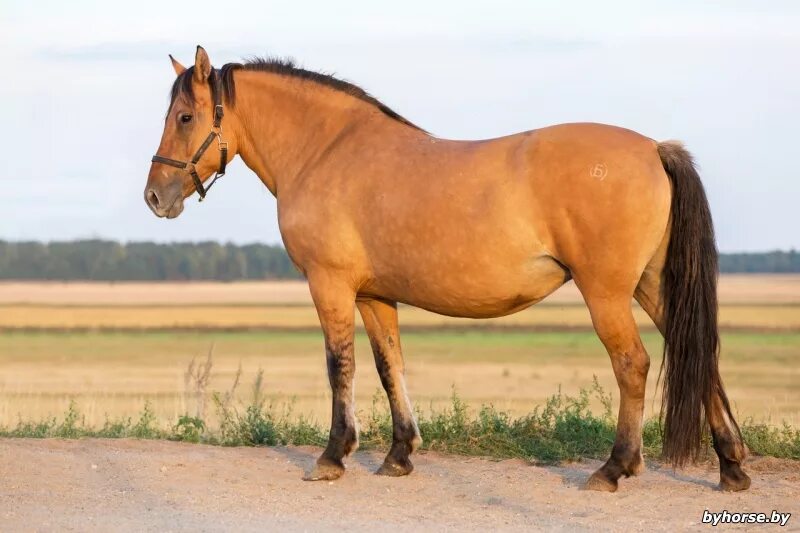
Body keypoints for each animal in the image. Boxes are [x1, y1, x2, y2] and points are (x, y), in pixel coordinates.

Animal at [145, 45, 752, 490]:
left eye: (185, 115)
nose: (154, 196)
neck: (327, 152)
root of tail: (653, 148)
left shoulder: (330, 286)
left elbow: (340, 366)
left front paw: (334, 456)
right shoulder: (374, 296)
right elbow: (390, 366)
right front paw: (398, 455)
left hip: (606, 292)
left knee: (633, 365)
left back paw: (614, 468)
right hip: (653, 285)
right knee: (700, 355)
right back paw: (732, 465)